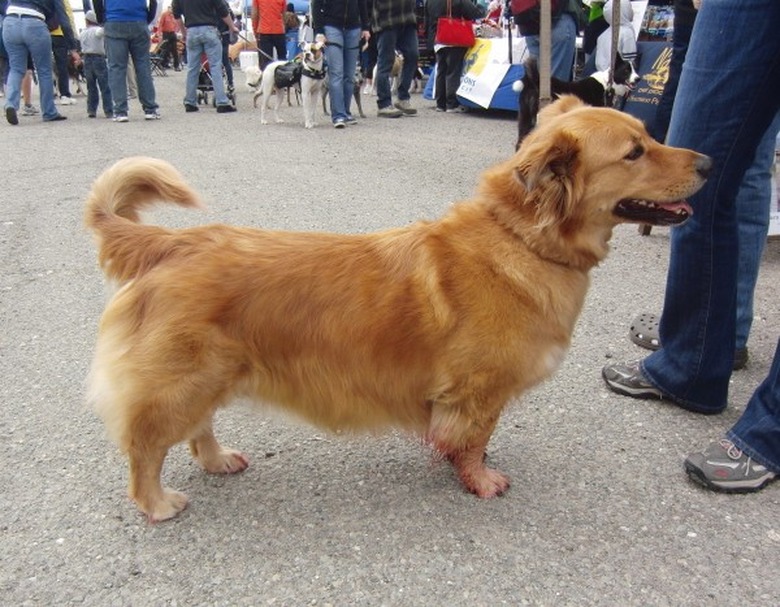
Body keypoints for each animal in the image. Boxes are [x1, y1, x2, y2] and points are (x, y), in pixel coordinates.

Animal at [88, 97, 708, 520]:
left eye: (649, 136)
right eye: (635, 151)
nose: (707, 161)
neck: (521, 237)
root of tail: (172, 243)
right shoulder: (477, 392)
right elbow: (474, 440)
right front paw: (479, 478)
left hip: (208, 377)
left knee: (198, 429)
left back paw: (217, 460)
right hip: (182, 381)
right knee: (145, 447)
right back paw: (156, 501)